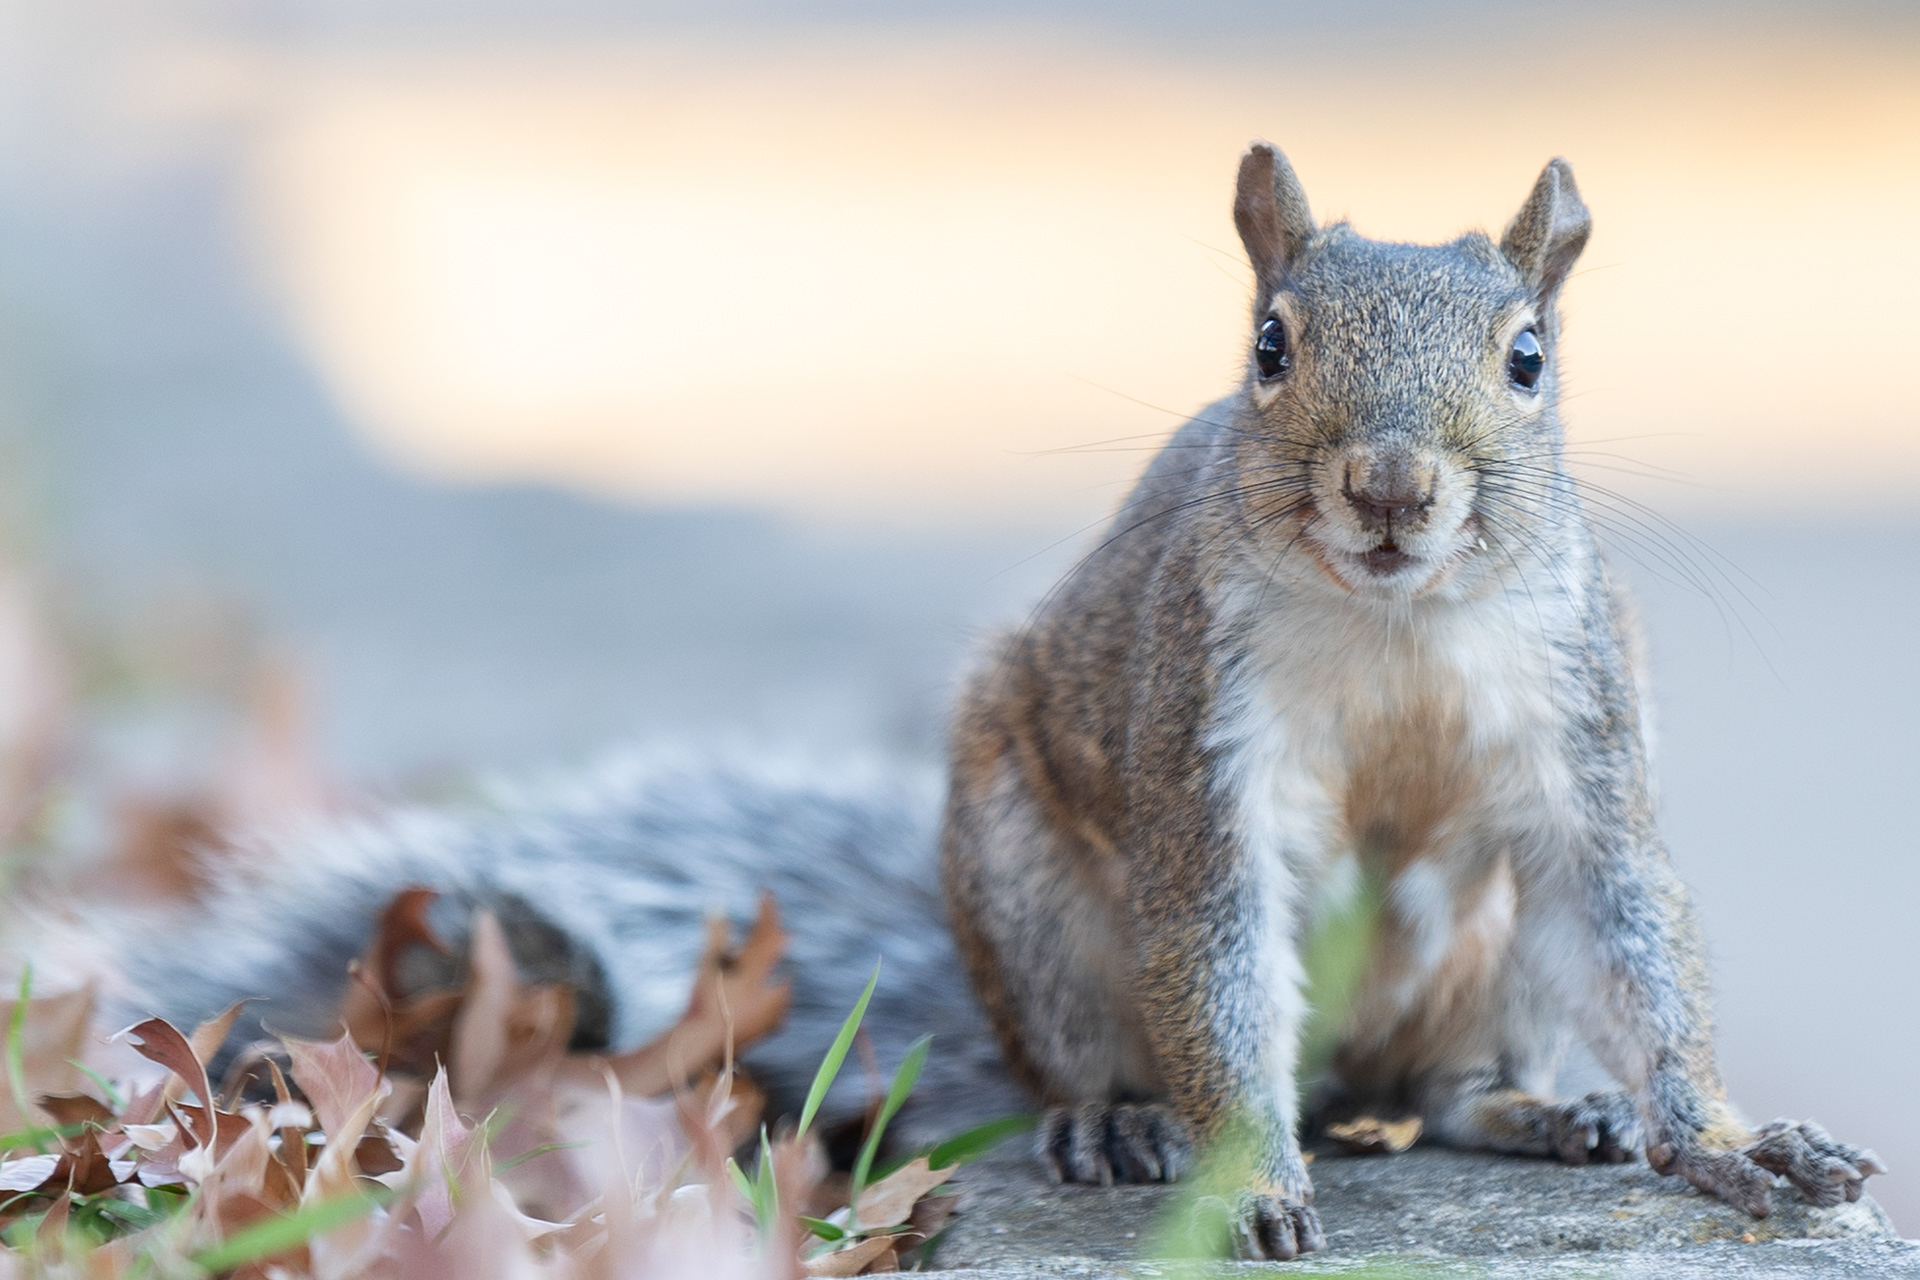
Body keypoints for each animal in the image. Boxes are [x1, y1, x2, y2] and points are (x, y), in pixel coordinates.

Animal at [67, 143, 1882, 1263]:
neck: (1399, 627)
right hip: (1029, 900)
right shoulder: (1195, 743)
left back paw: (1540, 1105)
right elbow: (1218, 962)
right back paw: (1117, 1125)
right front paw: (1247, 1177)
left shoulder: (1577, 739)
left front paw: (1729, 1136)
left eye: (1528, 360)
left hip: (1481, 959)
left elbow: (1638, 936)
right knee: (1136, 1057)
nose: (1386, 488)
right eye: (1270, 344)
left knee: (1425, 1096)